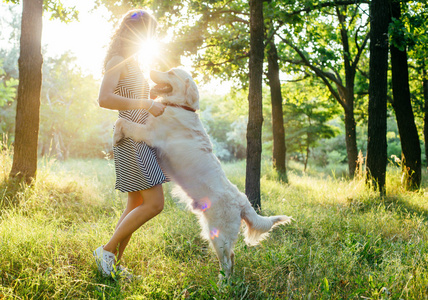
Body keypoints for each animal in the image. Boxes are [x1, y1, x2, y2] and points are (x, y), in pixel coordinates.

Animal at [112, 68, 292, 278]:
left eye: (171, 73)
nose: (150, 69)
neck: (180, 107)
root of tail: (243, 202)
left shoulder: (149, 133)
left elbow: (122, 121)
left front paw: (115, 137)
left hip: (218, 235)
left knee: (227, 262)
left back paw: (222, 284)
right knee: (232, 257)